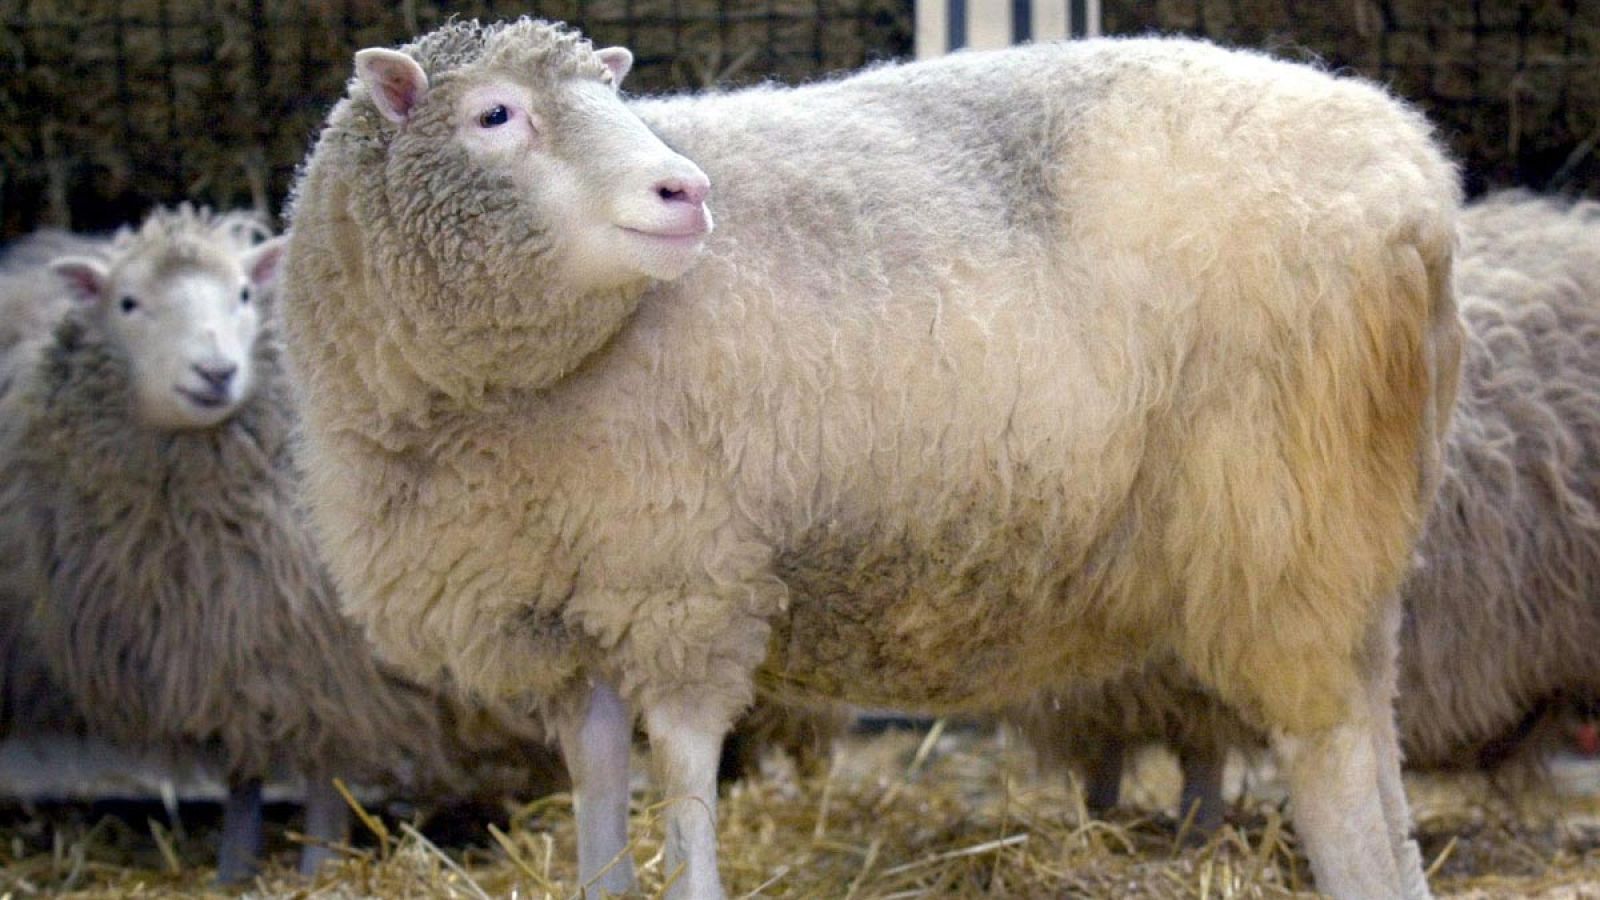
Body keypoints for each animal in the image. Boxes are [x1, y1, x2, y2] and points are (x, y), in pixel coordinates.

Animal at [0, 205, 564, 883]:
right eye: (128, 303)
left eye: (244, 294)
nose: (216, 372)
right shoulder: (228, 656)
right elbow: (244, 774)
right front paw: (233, 870)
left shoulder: (331, 663)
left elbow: (327, 773)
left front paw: (318, 867)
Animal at [279, 19, 1461, 899]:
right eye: (494, 114)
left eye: (617, 101)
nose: (685, 192)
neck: (489, 396)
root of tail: (1418, 177)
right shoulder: (561, 605)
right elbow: (600, 778)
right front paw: (603, 876)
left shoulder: (685, 577)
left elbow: (687, 767)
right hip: (1356, 515)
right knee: (1375, 723)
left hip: (1281, 505)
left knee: (1330, 744)